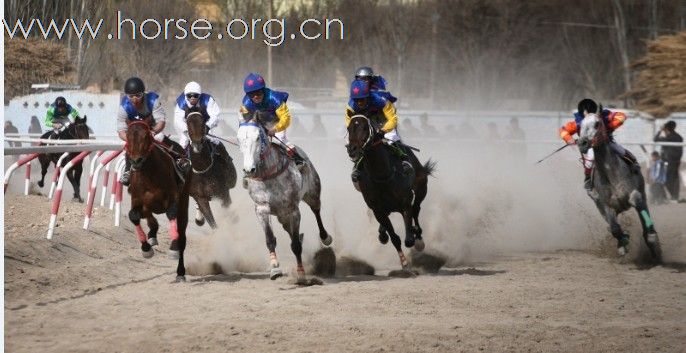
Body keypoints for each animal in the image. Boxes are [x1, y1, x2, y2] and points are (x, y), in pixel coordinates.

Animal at [125, 117, 191, 280]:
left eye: (146, 136)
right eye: (128, 136)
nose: (136, 161)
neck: (149, 174)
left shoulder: (173, 198)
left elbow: (172, 214)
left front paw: (173, 248)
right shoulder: (138, 200)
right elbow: (134, 215)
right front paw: (146, 248)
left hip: (184, 198)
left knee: (182, 234)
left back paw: (180, 272)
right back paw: (152, 234)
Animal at [236, 112, 334, 280]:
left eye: (258, 137)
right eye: (239, 138)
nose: (249, 170)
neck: (269, 173)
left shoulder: (292, 210)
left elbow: (296, 245)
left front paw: (301, 273)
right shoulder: (262, 209)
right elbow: (270, 239)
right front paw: (275, 268)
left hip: (312, 193)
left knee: (316, 211)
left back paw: (325, 237)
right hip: (281, 214)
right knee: (288, 229)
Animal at [346, 114, 438, 268]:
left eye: (364, 128)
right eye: (348, 128)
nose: (352, 149)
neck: (382, 176)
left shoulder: (405, 204)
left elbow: (409, 239)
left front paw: (414, 237)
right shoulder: (378, 210)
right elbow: (394, 237)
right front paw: (403, 260)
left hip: (421, 187)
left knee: (416, 209)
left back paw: (418, 236)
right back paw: (383, 234)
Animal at [576, 108, 664, 260]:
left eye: (597, 123)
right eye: (580, 125)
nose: (583, 143)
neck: (610, 173)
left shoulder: (635, 193)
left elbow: (637, 201)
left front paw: (653, 242)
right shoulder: (606, 204)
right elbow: (615, 228)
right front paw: (623, 242)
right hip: (600, 205)